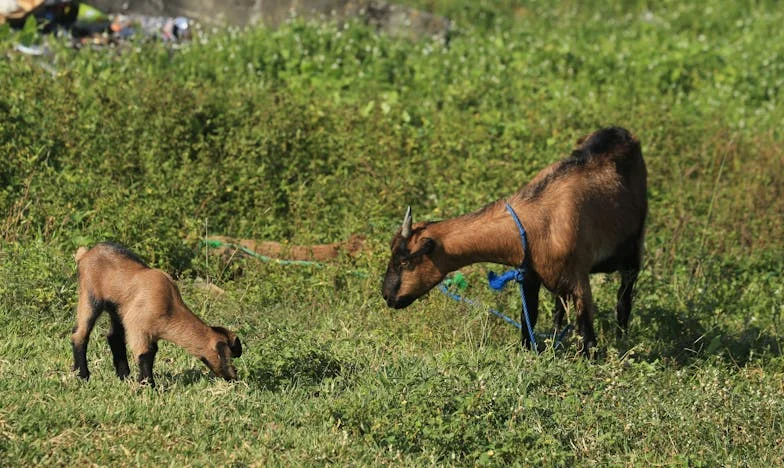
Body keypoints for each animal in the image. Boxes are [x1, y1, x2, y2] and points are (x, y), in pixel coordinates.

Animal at [71, 243, 242, 386]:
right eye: (227, 356)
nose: (234, 378)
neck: (170, 306)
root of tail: (84, 254)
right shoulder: (138, 328)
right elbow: (144, 355)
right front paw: (148, 386)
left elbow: (151, 353)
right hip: (89, 298)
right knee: (79, 335)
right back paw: (83, 375)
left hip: (118, 311)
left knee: (114, 337)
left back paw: (124, 376)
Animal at [382, 126, 648, 352]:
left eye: (405, 261)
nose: (386, 296)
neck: (537, 221)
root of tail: (622, 132)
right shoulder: (530, 274)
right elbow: (528, 319)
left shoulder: (579, 279)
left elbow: (588, 337)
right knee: (559, 307)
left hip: (633, 250)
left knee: (624, 300)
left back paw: (622, 339)